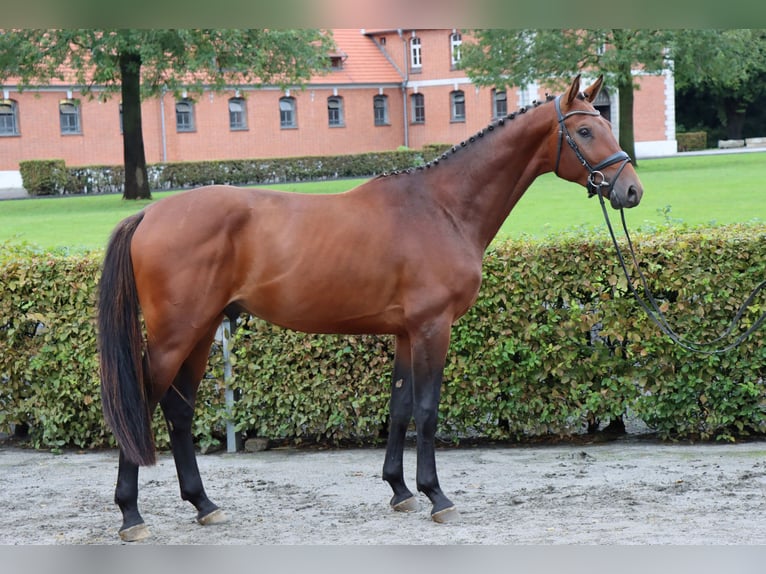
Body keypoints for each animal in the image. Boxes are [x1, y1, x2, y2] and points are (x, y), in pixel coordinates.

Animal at [99, 74, 644, 544]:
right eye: (585, 129)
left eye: (605, 123)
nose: (631, 189)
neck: (441, 208)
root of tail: (149, 213)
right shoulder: (432, 328)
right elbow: (426, 410)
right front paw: (436, 495)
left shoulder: (405, 332)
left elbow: (399, 407)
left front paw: (400, 490)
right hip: (175, 335)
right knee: (143, 404)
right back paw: (131, 515)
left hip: (200, 331)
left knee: (178, 409)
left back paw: (204, 505)